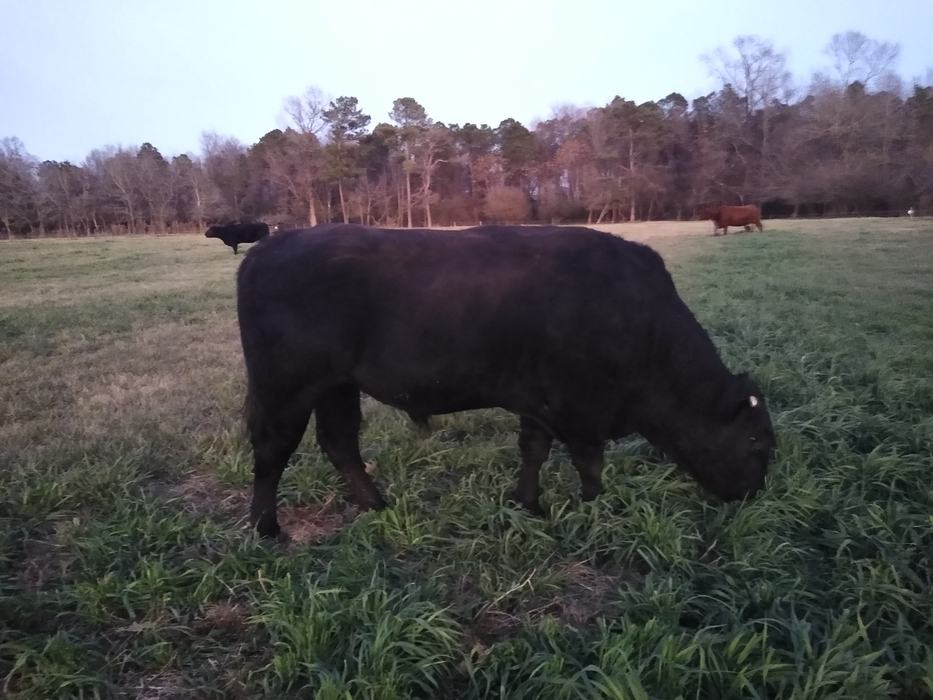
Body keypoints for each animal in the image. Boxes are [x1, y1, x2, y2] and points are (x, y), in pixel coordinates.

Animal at [237, 224, 776, 538]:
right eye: (757, 440)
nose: (755, 494)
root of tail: (268, 245)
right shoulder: (583, 408)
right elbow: (589, 463)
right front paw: (594, 507)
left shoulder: (539, 402)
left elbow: (534, 450)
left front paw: (528, 504)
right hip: (285, 387)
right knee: (272, 449)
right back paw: (267, 528)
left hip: (336, 387)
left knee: (340, 442)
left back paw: (376, 505)